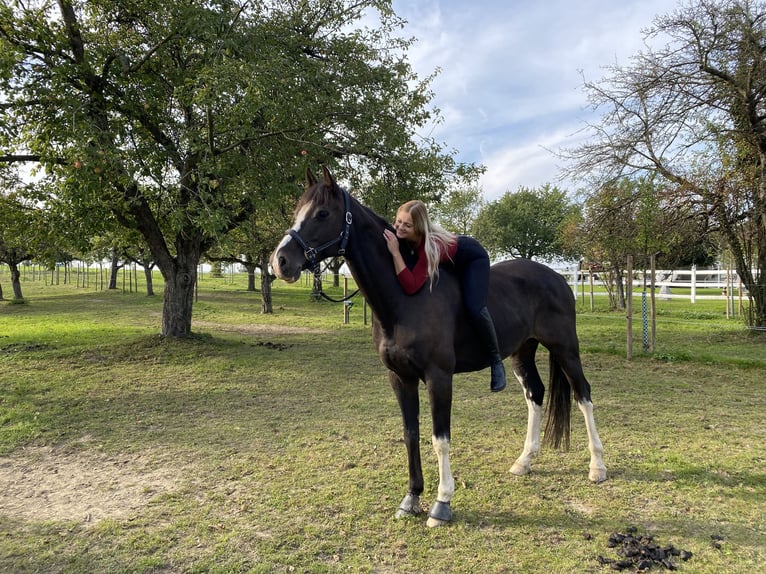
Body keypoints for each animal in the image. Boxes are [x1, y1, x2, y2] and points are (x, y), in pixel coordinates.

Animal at [272, 165, 608, 528]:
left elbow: (440, 438)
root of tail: (559, 277)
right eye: (296, 210)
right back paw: (524, 461)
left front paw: (441, 503)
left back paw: (597, 467)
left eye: (322, 213)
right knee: (535, 394)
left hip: (565, 349)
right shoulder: (400, 378)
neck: (405, 299)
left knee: (583, 396)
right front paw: (411, 499)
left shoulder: (439, 377)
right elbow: (411, 434)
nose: (280, 262)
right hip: (523, 352)